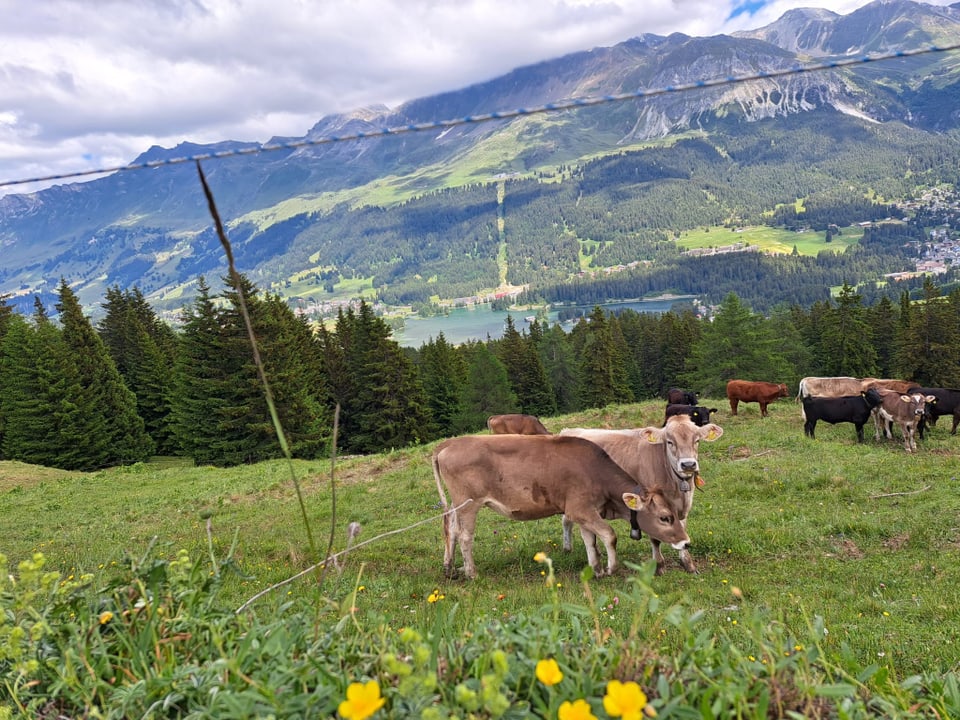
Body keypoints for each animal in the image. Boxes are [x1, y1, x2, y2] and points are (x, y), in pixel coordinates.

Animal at [430, 434, 688, 580]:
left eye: (676, 513)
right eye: (665, 517)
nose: (686, 542)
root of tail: (450, 444)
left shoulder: (585, 511)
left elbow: (590, 541)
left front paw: (596, 570)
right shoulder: (579, 509)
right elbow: (609, 535)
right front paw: (611, 569)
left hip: (456, 503)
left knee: (451, 530)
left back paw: (449, 568)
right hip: (468, 503)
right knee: (465, 536)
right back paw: (472, 573)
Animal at [556, 416, 720, 572]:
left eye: (697, 440)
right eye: (669, 442)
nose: (688, 464)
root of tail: (567, 430)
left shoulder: (682, 508)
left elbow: (682, 528)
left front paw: (688, 564)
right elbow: (655, 538)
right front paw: (659, 566)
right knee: (569, 520)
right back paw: (568, 548)